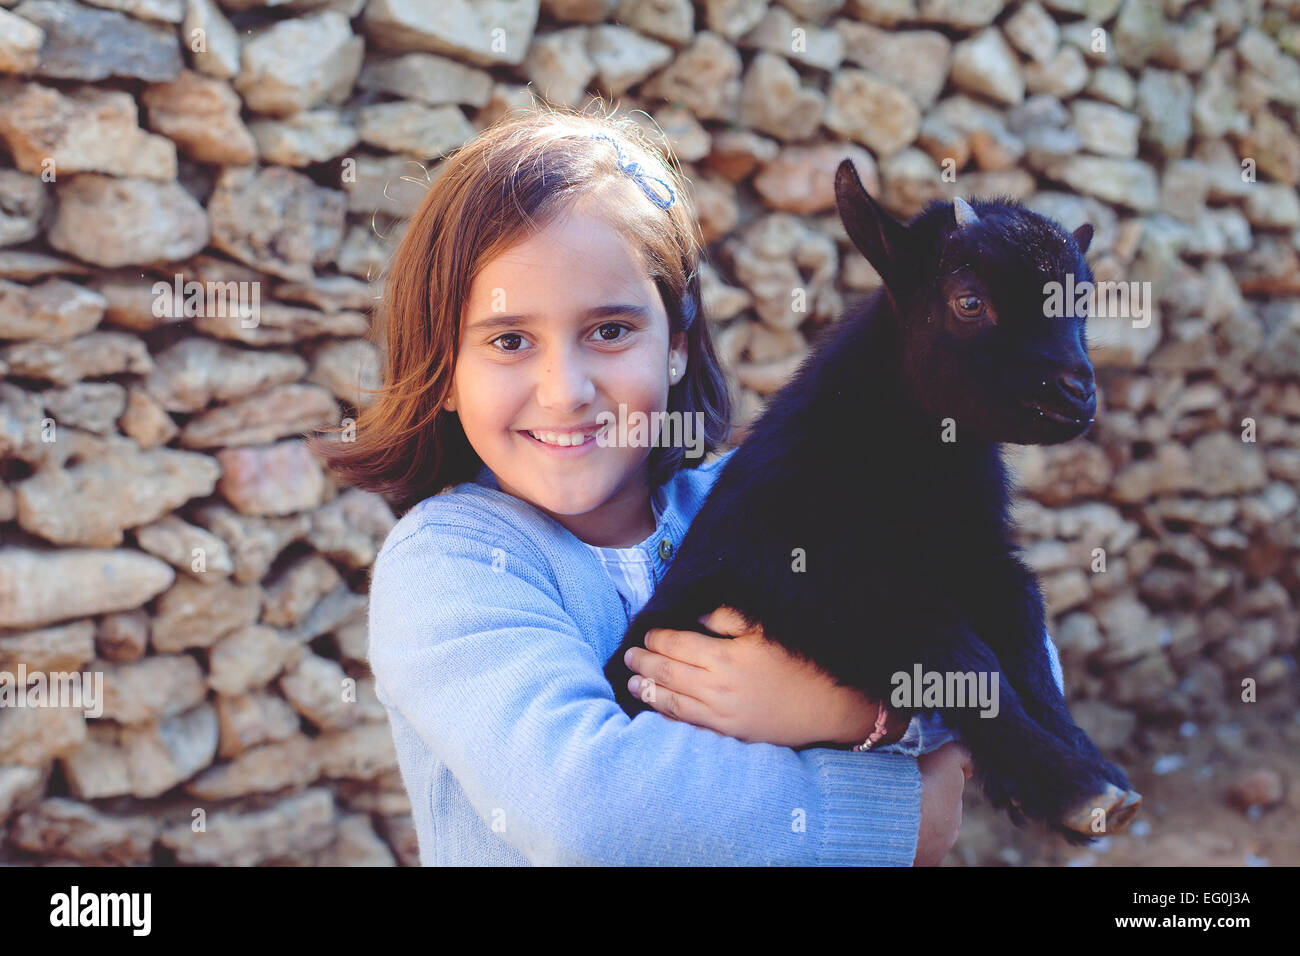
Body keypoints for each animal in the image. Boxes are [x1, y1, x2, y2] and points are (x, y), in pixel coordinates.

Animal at [603, 158, 1144, 842]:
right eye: (970, 302)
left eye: (1082, 306)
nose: (1077, 393)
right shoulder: (819, 581)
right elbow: (962, 660)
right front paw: (1072, 785)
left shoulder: (980, 561)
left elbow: (1027, 642)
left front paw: (1090, 768)